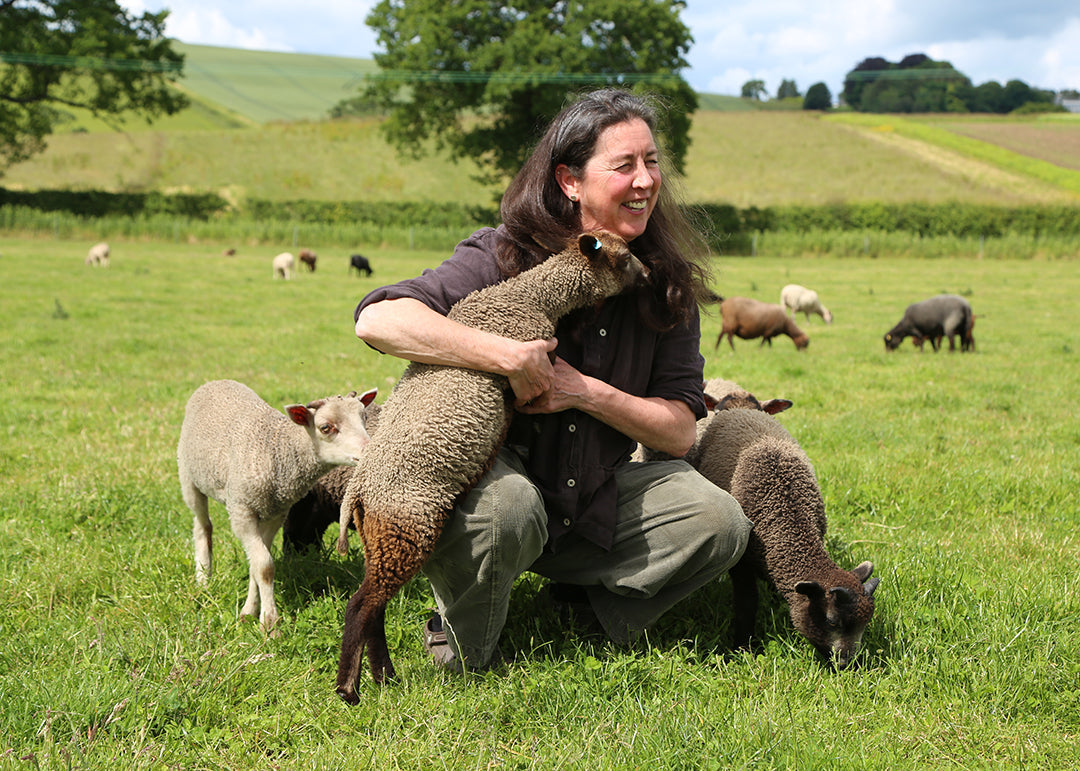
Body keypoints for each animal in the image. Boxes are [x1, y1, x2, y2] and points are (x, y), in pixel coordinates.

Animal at [177, 379, 377, 633]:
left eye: (364, 417)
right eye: (325, 428)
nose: (369, 452)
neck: (276, 451)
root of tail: (214, 382)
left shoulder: (276, 513)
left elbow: (257, 566)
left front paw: (249, 612)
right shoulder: (241, 511)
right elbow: (264, 566)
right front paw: (270, 624)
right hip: (188, 476)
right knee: (203, 526)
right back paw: (204, 578)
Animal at [690, 384, 879, 669]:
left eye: (866, 623)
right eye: (832, 621)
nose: (847, 664)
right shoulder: (742, 563)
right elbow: (747, 604)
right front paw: (742, 646)